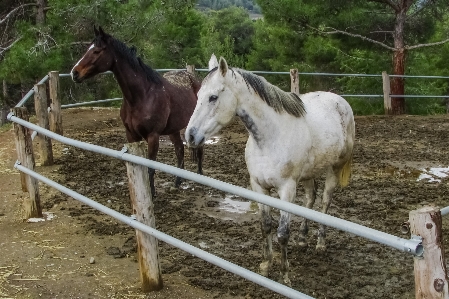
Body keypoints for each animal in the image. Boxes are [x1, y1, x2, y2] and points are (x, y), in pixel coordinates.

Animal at [71, 26, 204, 197]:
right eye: (88, 48)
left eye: (97, 51)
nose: (75, 73)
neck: (142, 95)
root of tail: (194, 78)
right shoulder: (131, 135)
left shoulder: (153, 137)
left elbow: (150, 168)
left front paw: (152, 194)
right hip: (173, 129)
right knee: (179, 149)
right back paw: (177, 182)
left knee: (199, 149)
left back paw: (200, 176)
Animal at [185, 55, 354, 288]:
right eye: (198, 95)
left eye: (213, 97)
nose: (190, 136)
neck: (271, 138)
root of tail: (339, 101)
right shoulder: (258, 186)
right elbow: (265, 226)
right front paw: (266, 265)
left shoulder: (287, 189)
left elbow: (282, 233)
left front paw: (285, 275)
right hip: (308, 173)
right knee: (310, 199)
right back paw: (302, 239)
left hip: (334, 168)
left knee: (325, 202)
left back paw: (320, 243)